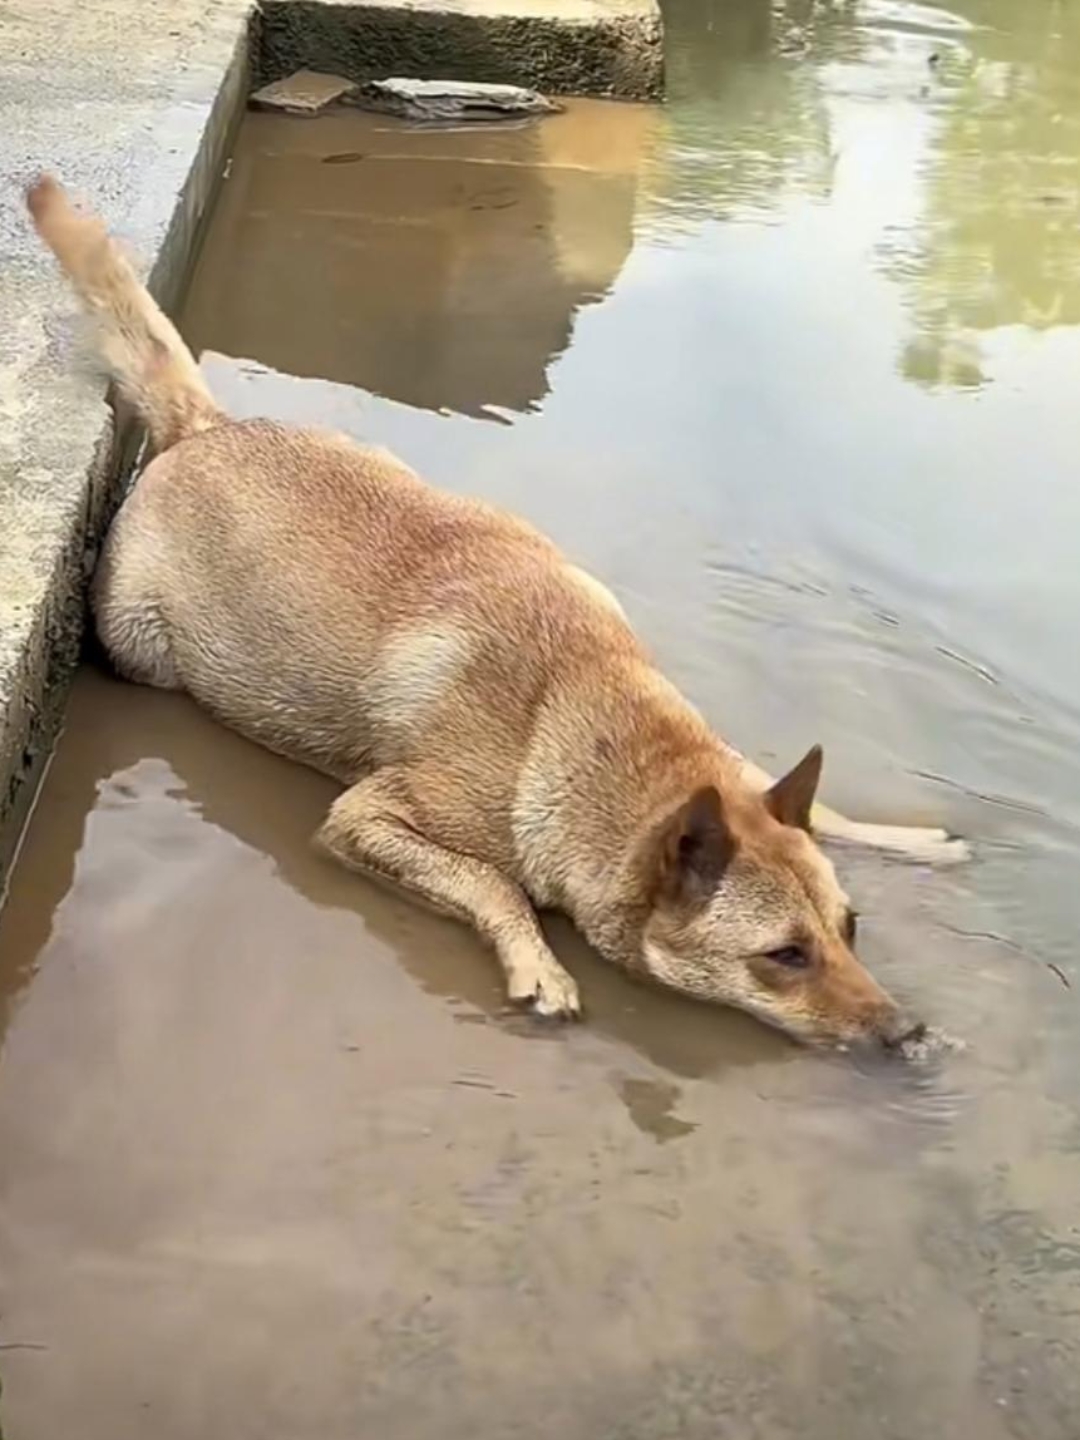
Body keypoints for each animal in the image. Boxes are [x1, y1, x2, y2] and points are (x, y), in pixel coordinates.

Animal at [29, 177, 967, 1048]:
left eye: (850, 930)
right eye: (783, 957)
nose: (906, 1032)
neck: (591, 721)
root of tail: (207, 426)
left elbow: (813, 800)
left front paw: (905, 838)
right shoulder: (365, 818)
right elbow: (494, 881)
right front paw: (537, 960)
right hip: (140, 645)